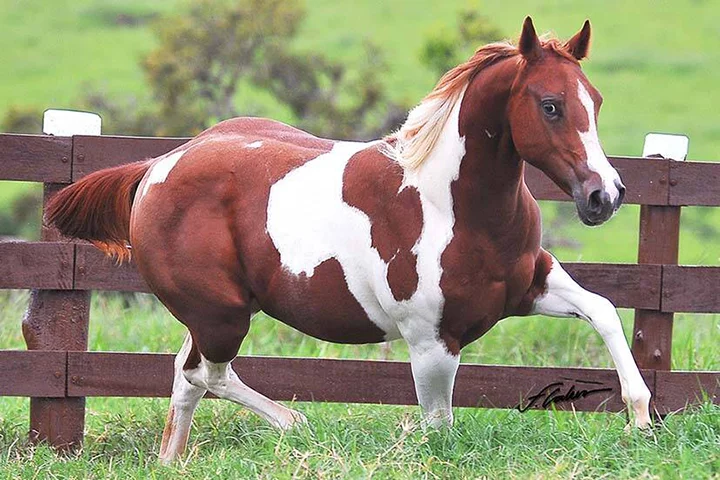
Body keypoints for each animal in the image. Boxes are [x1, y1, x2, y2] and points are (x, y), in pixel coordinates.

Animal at [46, 17, 651, 463]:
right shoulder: (432, 341)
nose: (605, 195)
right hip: (222, 314)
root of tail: (160, 166)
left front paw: (642, 421)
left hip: (211, 317)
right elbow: (439, 429)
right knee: (205, 372)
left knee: (186, 376)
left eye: (595, 101)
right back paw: (297, 424)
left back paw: (172, 461)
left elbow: (603, 310)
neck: (452, 207)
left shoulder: (533, 286)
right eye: (550, 105)